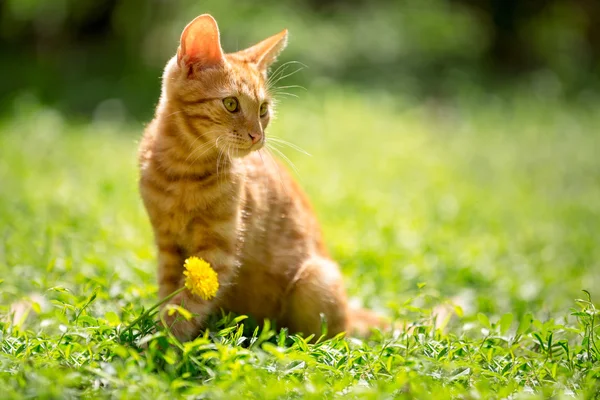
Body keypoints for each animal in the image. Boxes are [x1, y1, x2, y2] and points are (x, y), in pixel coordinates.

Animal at [138, 14, 382, 340]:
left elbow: (187, 303)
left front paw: (164, 340)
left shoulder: (218, 250)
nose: (258, 136)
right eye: (231, 104)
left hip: (315, 279)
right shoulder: (167, 245)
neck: (182, 171)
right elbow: (170, 293)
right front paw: (160, 336)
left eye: (263, 109)